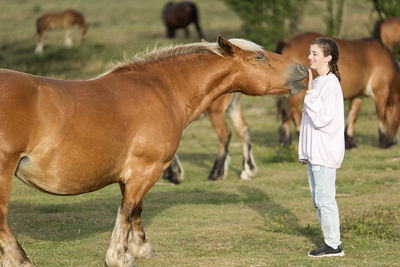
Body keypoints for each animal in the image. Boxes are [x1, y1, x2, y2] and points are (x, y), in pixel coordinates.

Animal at [0, 36, 306, 267]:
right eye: (259, 57)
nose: (303, 69)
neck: (162, 90)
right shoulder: (146, 170)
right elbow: (127, 211)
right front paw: (120, 256)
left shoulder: (134, 175)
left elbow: (136, 209)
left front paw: (140, 248)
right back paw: (21, 260)